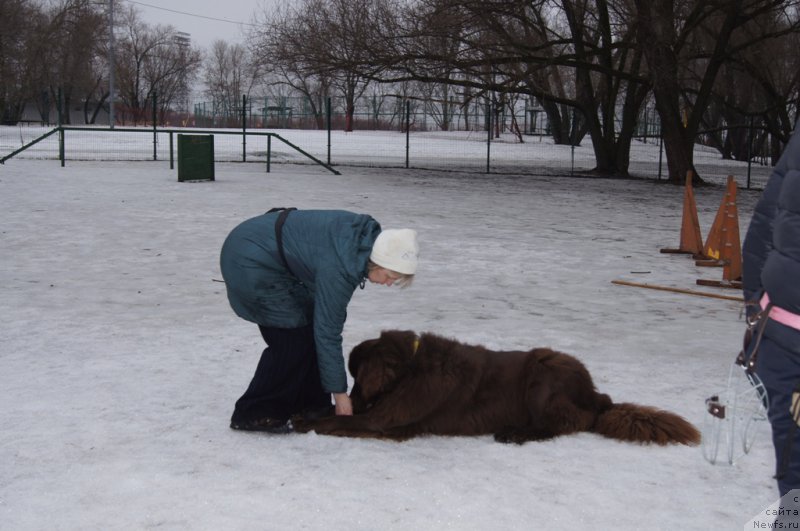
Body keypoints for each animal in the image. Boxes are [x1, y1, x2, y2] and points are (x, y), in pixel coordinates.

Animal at [294, 330, 700, 446]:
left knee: (558, 425)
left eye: (357, 378)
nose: (353, 398)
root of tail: (598, 396)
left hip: (543, 371)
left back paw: (514, 434)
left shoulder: (384, 421)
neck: (409, 368)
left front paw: (305, 423)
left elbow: (338, 422)